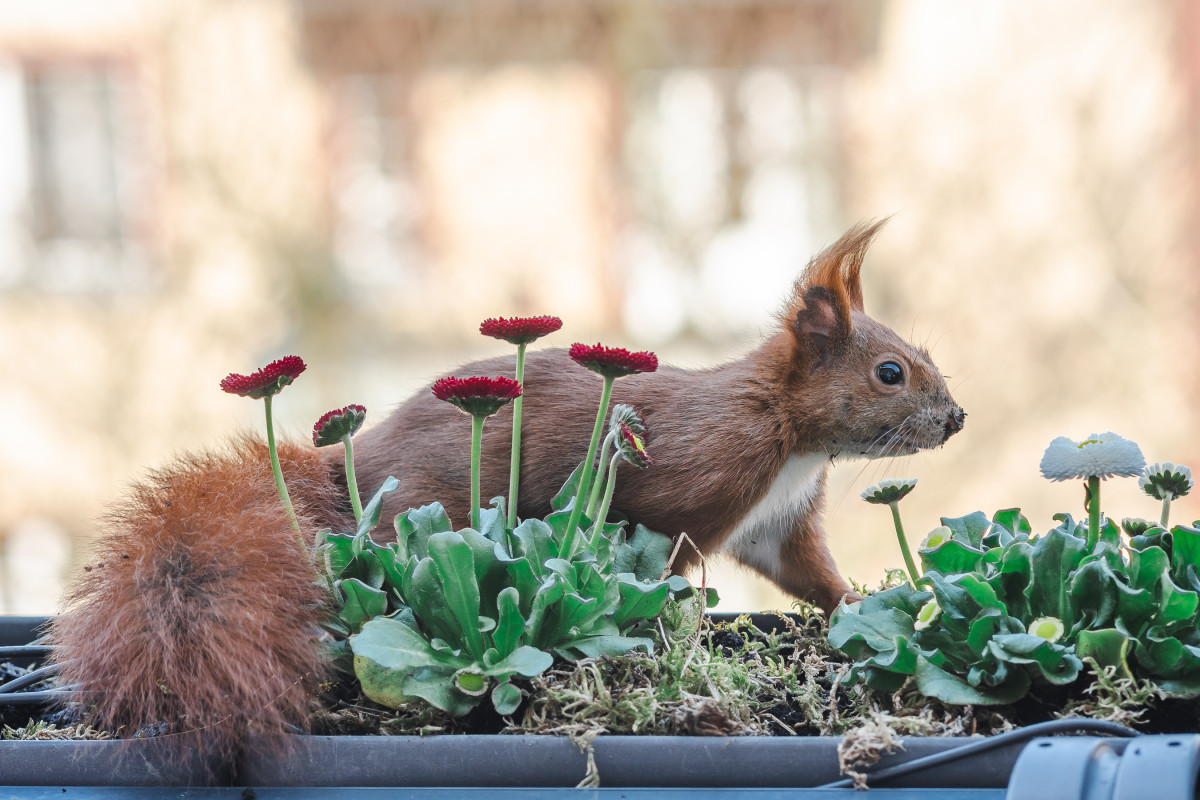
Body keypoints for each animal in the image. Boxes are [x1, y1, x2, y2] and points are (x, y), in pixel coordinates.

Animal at [49, 221, 964, 762]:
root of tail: (352, 469)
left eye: (923, 357)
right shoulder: (691, 486)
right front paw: (674, 651)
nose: (955, 417)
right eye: (891, 373)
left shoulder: (777, 523)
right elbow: (664, 574)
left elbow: (809, 576)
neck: (791, 440)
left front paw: (859, 609)